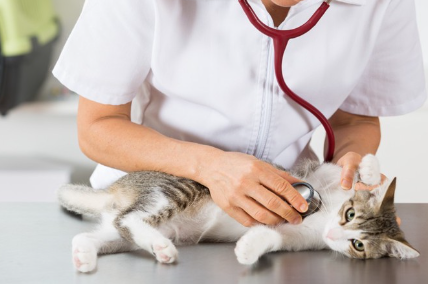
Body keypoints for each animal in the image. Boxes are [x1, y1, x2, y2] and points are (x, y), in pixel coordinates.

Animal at [56, 155, 418, 272]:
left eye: (359, 245)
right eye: (350, 214)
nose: (335, 233)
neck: (321, 217)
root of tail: (119, 187)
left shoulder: (295, 236)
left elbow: (271, 236)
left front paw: (247, 249)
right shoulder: (314, 175)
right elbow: (340, 169)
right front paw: (368, 169)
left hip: (123, 232)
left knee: (100, 231)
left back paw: (85, 256)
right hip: (173, 191)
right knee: (129, 219)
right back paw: (161, 247)